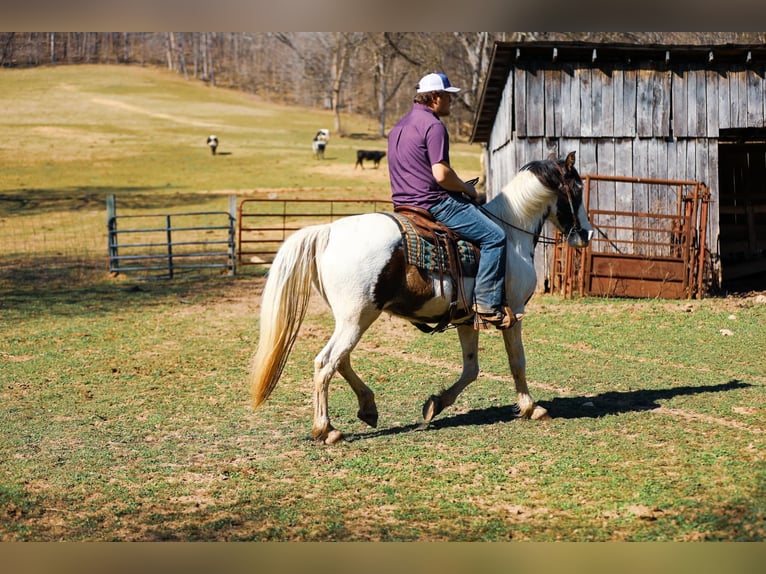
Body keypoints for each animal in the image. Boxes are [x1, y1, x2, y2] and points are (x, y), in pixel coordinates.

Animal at [248, 152, 593, 444]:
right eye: (576, 187)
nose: (587, 234)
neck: (512, 234)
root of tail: (329, 231)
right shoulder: (514, 312)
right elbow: (517, 362)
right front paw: (531, 407)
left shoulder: (466, 319)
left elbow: (471, 368)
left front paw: (435, 404)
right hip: (356, 318)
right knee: (326, 363)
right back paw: (327, 429)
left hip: (354, 319)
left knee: (341, 360)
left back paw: (368, 408)